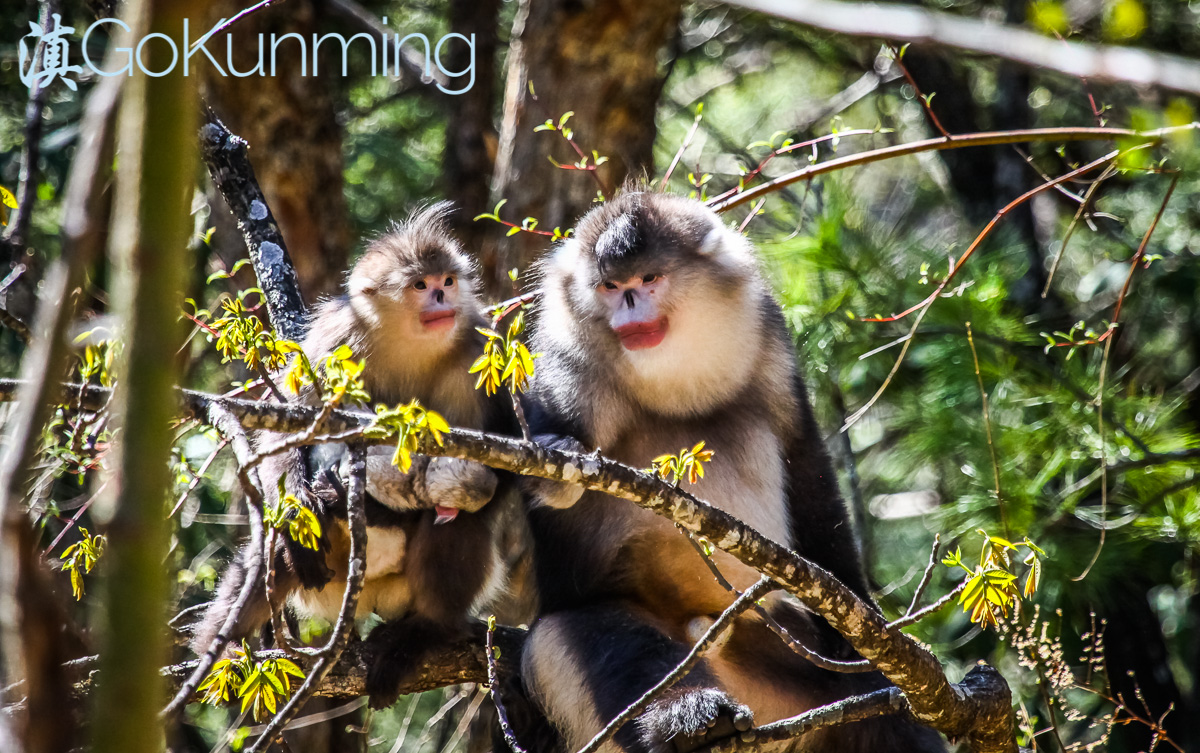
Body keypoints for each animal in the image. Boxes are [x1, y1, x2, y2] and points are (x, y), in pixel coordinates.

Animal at [194, 202, 523, 709]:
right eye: (420, 285)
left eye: (448, 281)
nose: (441, 299)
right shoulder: (337, 336)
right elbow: (287, 429)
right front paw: (305, 507)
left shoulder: (478, 344)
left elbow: (504, 467)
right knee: (274, 548)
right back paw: (221, 650)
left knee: (459, 522)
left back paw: (423, 633)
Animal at [513, 194, 936, 753]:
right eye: (609, 287)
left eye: (648, 278)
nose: (629, 306)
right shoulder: (567, 366)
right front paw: (555, 471)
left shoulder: (767, 333)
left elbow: (804, 460)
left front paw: (859, 624)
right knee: (591, 638)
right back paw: (687, 719)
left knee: (884, 708)